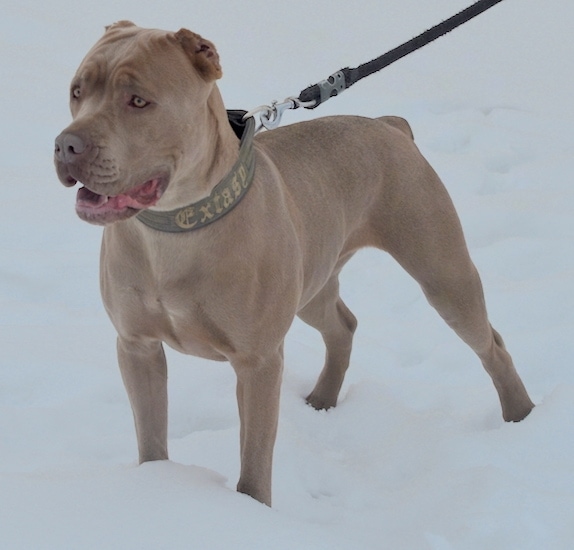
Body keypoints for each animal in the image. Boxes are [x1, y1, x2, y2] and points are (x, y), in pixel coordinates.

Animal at [53, 21, 536, 506]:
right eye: (77, 91)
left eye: (138, 101)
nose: (66, 144)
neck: (176, 226)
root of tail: (390, 127)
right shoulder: (137, 347)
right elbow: (150, 437)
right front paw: (154, 482)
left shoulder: (257, 362)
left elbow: (254, 461)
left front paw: (251, 509)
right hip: (312, 284)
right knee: (342, 325)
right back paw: (323, 399)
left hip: (443, 275)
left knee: (490, 344)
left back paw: (521, 415)